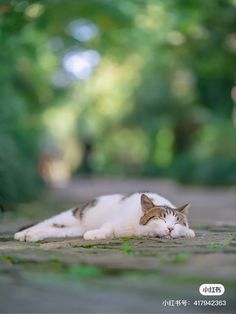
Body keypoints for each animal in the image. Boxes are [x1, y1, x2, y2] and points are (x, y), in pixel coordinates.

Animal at [14, 193, 195, 242]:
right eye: (162, 219)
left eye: (177, 223)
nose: (170, 228)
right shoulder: (117, 221)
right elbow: (108, 228)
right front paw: (95, 234)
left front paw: (188, 232)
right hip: (70, 216)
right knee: (44, 223)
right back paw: (23, 234)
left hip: (72, 230)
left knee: (51, 230)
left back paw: (31, 236)